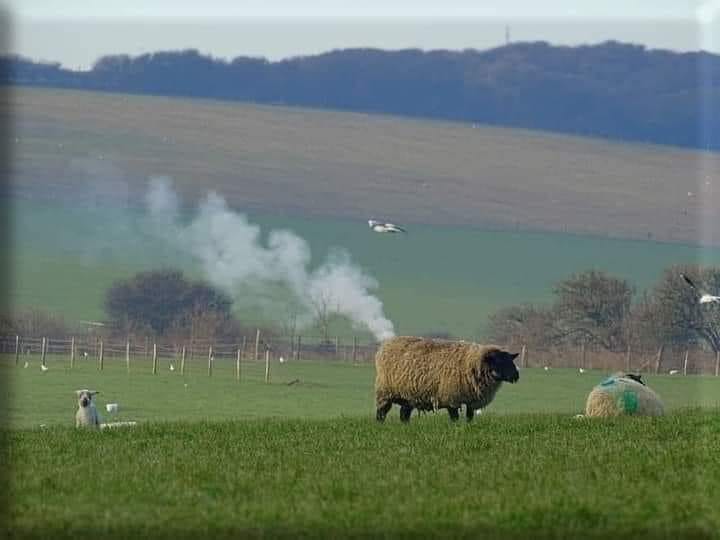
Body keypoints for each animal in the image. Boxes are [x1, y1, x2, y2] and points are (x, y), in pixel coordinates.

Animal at [374, 336, 520, 422]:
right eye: (498, 361)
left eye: (510, 360)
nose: (516, 376)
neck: (472, 363)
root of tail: (385, 345)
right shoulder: (451, 397)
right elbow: (454, 417)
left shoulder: (471, 400)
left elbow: (470, 416)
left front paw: (469, 425)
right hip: (385, 392)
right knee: (381, 411)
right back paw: (380, 424)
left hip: (408, 395)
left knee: (404, 413)